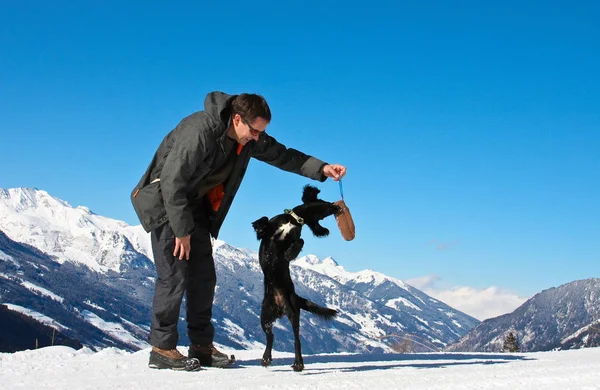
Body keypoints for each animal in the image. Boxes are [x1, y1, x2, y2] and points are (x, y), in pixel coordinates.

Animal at [251, 186, 340, 372]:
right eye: (325, 205)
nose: (337, 207)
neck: (293, 220)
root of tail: (279, 305)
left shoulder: (295, 237)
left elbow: (301, 240)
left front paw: (289, 254)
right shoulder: (268, 232)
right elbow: (264, 220)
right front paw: (259, 224)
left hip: (292, 313)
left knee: (296, 340)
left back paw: (298, 363)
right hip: (264, 316)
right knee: (271, 337)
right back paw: (266, 358)